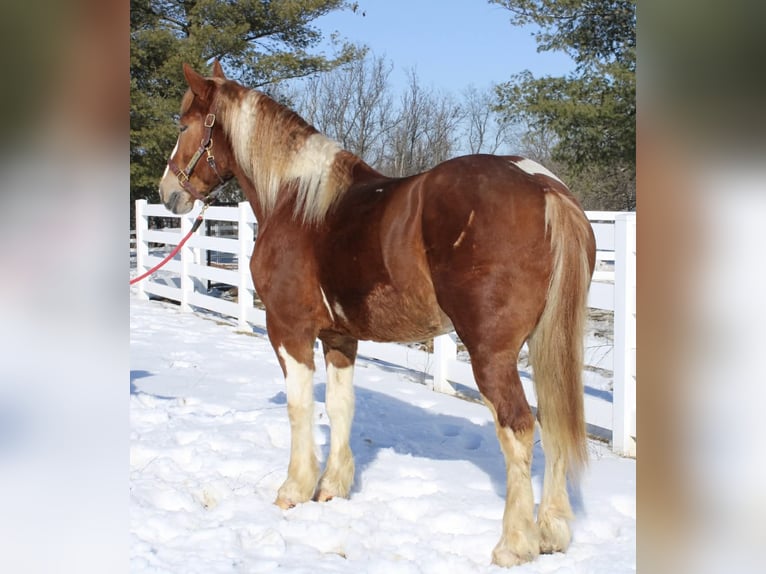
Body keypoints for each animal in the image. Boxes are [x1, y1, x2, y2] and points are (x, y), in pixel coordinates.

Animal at [158, 61, 596, 568]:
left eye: (183, 125)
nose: (168, 192)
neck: (296, 199)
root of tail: (542, 185)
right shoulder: (339, 337)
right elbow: (340, 406)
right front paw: (332, 488)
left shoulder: (288, 330)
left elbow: (299, 406)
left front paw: (294, 489)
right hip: (548, 345)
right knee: (554, 424)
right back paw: (552, 533)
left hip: (492, 355)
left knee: (519, 429)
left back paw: (514, 544)